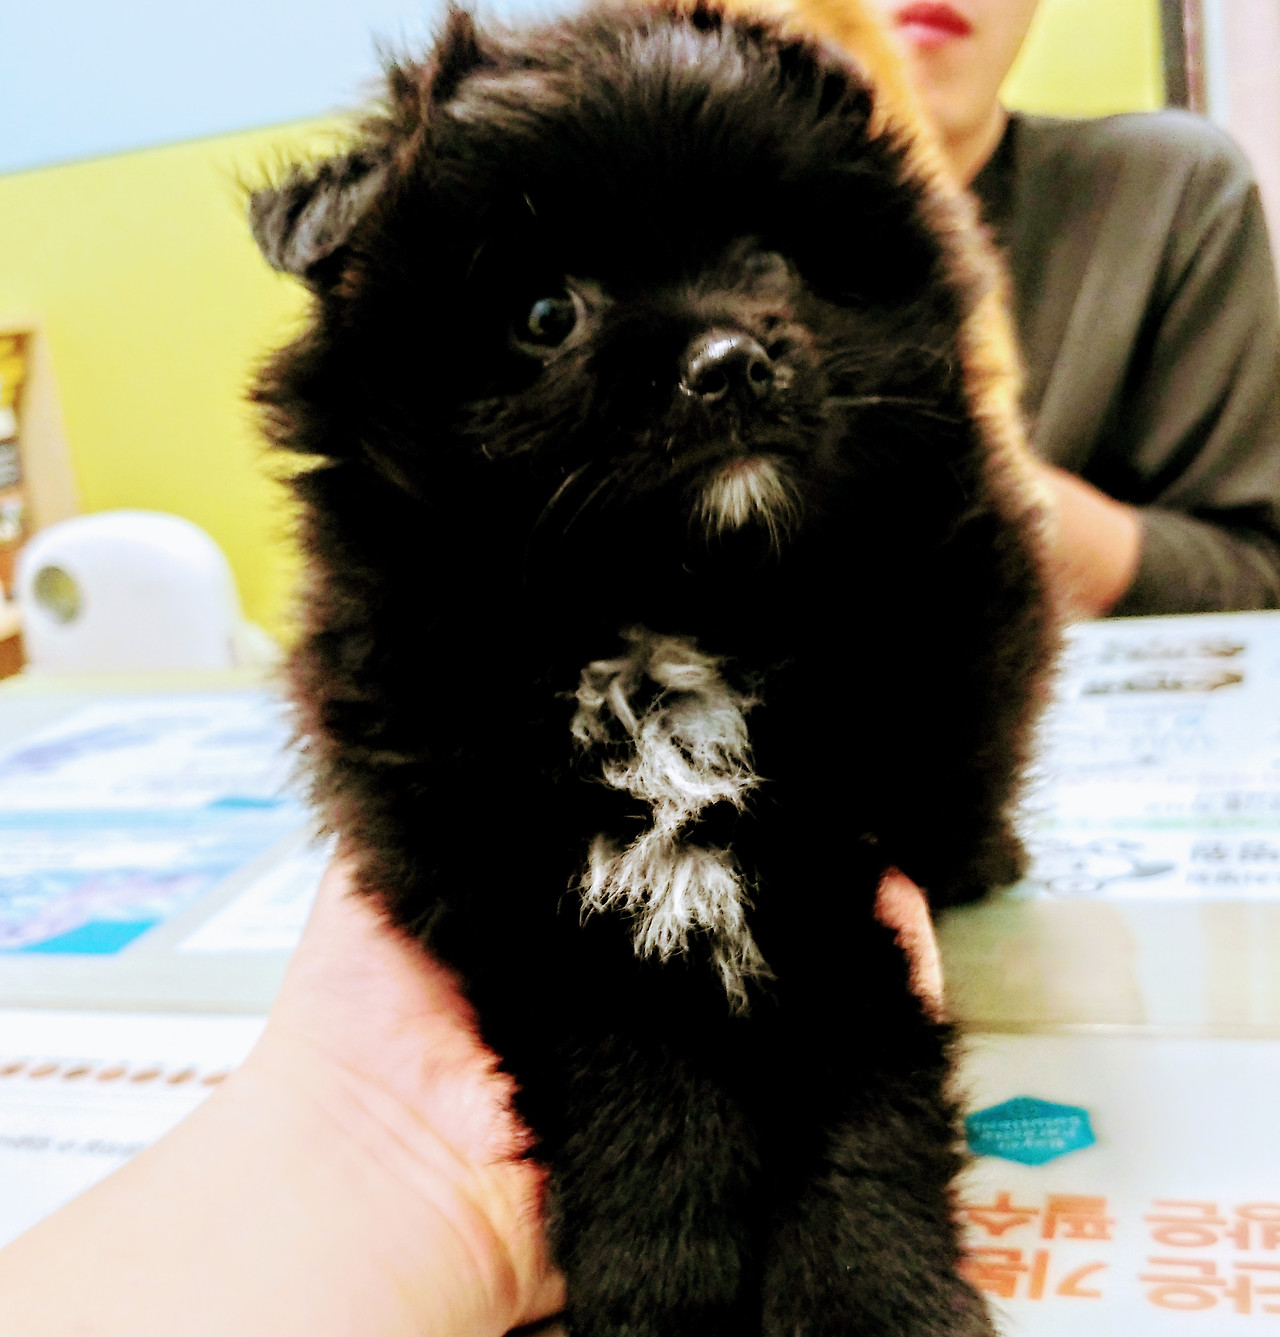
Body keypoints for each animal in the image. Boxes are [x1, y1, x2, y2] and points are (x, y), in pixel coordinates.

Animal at [250, 3, 1056, 1332]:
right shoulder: (522, 885)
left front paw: (865, 1287)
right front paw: (657, 1276)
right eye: (544, 316)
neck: (677, 613)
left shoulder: (835, 855)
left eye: (770, 261)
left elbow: (860, 1071)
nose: (728, 359)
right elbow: (634, 1074)